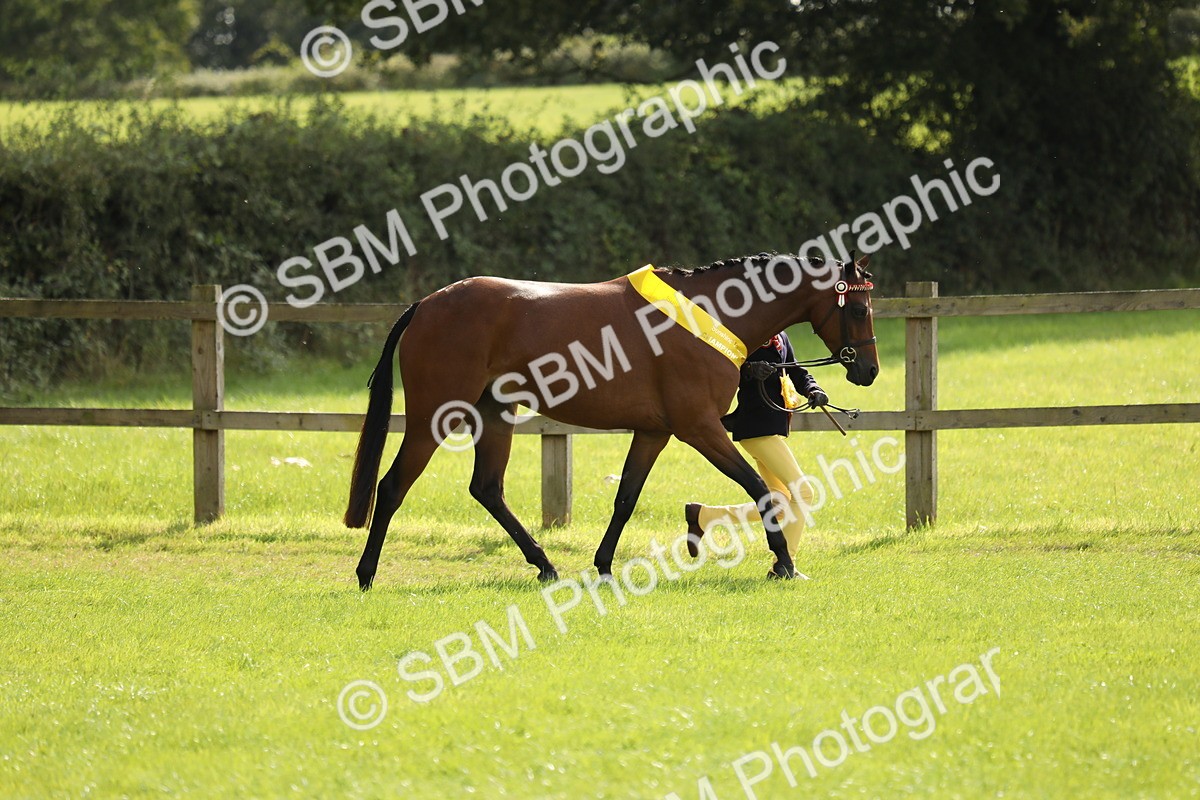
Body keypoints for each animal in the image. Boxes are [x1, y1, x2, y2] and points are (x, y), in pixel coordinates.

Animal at [344, 252, 879, 590]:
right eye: (856, 307)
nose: (869, 371)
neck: (706, 312)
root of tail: (427, 305)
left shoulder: (654, 432)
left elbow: (625, 499)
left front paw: (603, 566)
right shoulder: (699, 428)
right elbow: (760, 488)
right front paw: (783, 561)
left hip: (495, 414)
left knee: (487, 488)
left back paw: (544, 566)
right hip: (434, 418)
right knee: (391, 487)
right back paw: (366, 574)